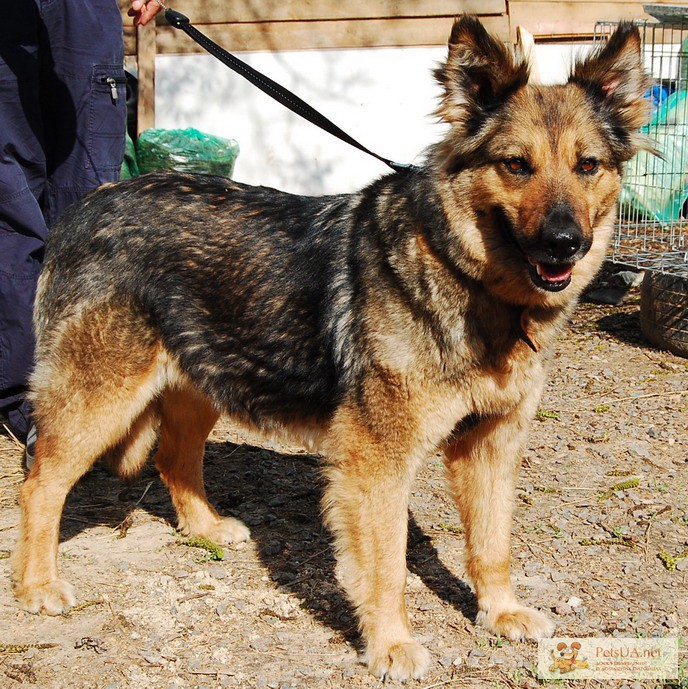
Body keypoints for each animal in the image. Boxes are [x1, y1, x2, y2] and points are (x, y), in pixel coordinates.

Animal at [16, 17, 652, 684]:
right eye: (516, 165)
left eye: (587, 165)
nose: (565, 243)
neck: (463, 274)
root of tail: (85, 207)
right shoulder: (377, 461)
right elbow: (389, 563)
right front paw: (392, 644)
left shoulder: (491, 444)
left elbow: (492, 541)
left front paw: (500, 612)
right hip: (99, 400)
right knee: (40, 486)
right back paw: (37, 586)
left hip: (203, 380)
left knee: (172, 457)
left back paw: (206, 529)